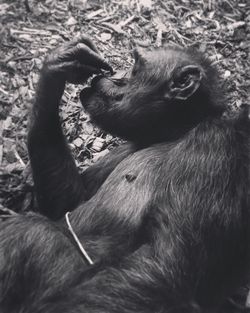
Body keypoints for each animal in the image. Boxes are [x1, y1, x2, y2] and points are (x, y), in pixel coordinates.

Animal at [0, 35, 250, 310]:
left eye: (135, 67)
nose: (114, 74)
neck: (173, 134)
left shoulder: (212, 151)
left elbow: (162, 265)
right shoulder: (122, 149)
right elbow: (68, 202)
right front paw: (62, 63)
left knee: (33, 233)